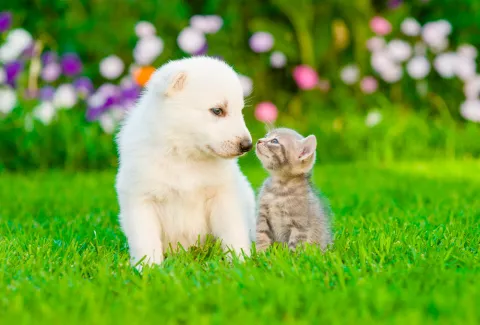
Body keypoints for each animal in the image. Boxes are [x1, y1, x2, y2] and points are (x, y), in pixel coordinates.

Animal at [115, 57, 256, 268]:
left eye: (240, 111)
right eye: (217, 110)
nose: (247, 145)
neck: (184, 155)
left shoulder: (223, 196)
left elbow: (233, 232)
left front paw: (241, 263)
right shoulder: (141, 199)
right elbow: (145, 239)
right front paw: (148, 268)